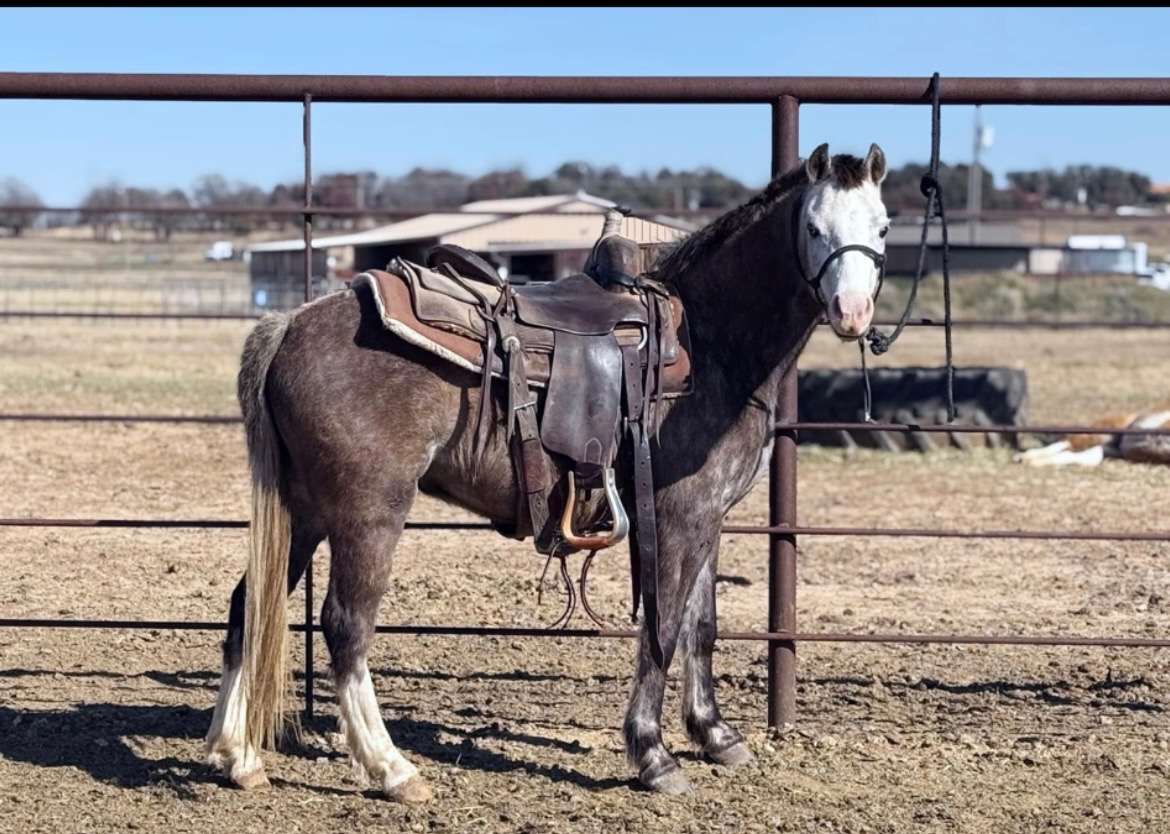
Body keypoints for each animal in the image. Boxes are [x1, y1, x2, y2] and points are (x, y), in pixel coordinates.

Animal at [202, 142, 891, 800]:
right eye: (814, 226)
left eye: (882, 227)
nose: (852, 310)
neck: (708, 342)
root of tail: (290, 323)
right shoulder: (679, 517)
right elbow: (664, 628)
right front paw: (653, 755)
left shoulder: (707, 518)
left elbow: (701, 626)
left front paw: (716, 735)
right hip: (368, 513)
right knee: (346, 628)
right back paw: (391, 769)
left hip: (304, 511)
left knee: (248, 607)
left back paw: (237, 757)